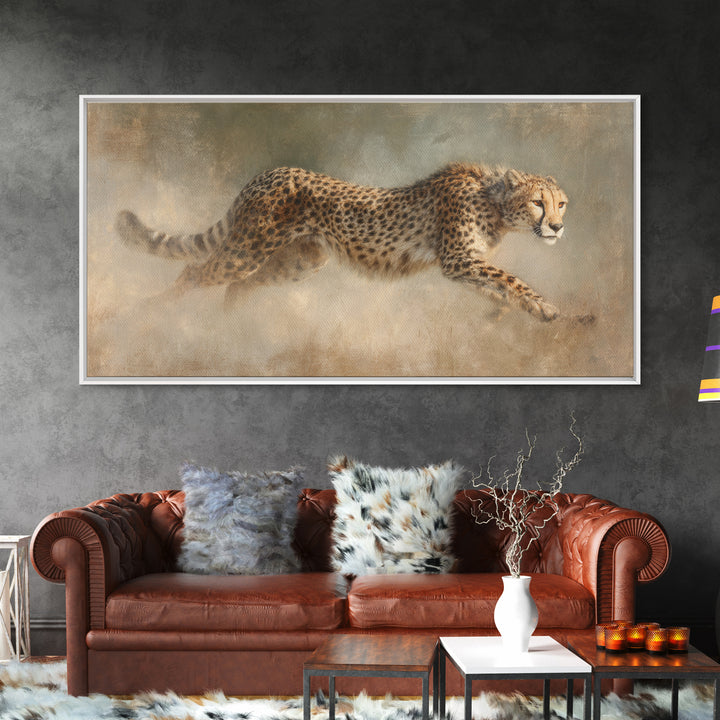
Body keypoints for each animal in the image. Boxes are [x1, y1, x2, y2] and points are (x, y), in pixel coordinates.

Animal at [115, 163, 571, 321]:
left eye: (561, 203)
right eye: (538, 202)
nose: (557, 228)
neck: (494, 202)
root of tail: (271, 171)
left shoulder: (467, 264)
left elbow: (497, 285)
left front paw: (517, 310)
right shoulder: (458, 259)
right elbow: (510, 278)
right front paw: (547, 306)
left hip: (300, 260)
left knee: (239, 286)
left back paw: (229, 331)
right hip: (248, 249)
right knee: (195, 271)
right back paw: (145, 316)